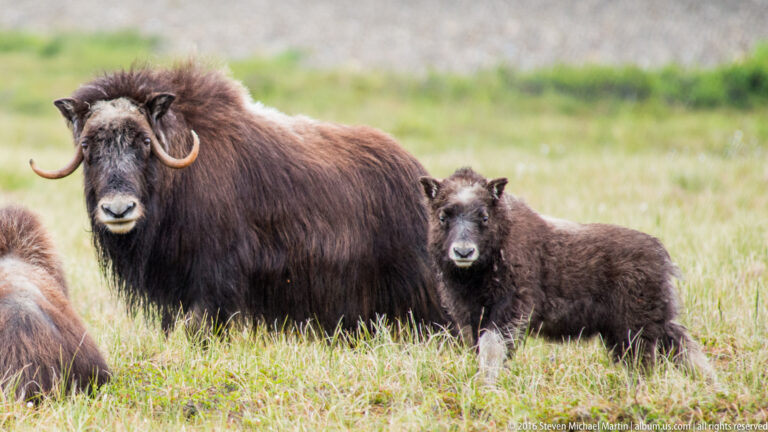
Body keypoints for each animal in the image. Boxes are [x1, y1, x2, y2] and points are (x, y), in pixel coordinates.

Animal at [420, 167, 714, 384]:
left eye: (483, 216)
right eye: (444, 216)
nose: (463, 251)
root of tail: (663, 257)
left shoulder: (510, 309)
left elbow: (492, 345)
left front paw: (487, 384)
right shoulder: (471, 314)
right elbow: (479, 345)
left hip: (636, 328)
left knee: (654, 357)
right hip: (641, 325)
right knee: (682, 347)